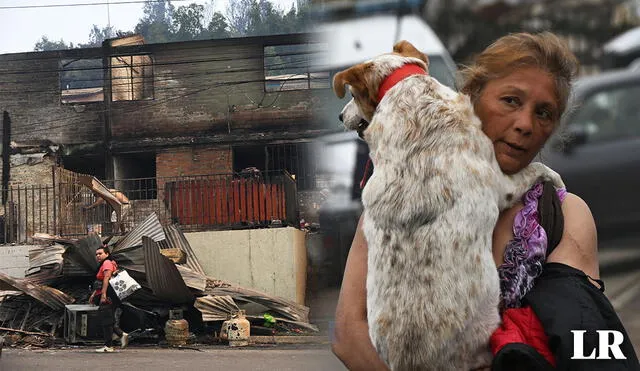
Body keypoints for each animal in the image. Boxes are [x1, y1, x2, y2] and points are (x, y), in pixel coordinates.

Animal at [332, 41, 564, 371]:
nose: (340, 117)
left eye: (352, 96)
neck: (411, 97)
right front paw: (556, 180)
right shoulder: (502, 185)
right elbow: (537, 170)